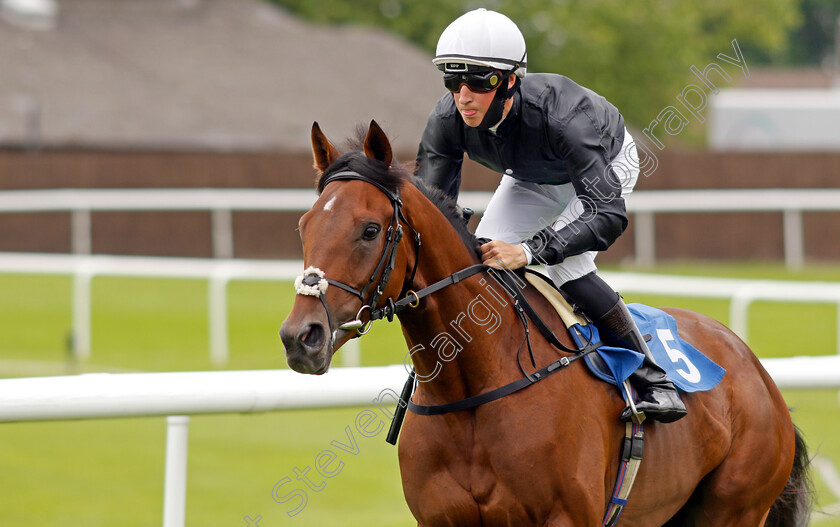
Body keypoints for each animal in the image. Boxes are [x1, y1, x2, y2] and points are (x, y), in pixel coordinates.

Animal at [278, 120, 812, 527]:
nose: (300, 337)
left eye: (370, 230)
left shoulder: (566, 518)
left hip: (734, 507)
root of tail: (755, 368)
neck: (473, 387)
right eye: (303, 226)